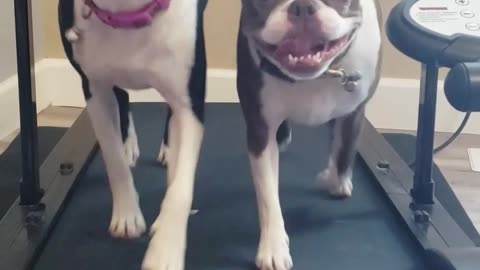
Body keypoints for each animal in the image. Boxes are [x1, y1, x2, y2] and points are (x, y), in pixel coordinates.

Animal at [57, 0, 207, 270]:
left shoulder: (190, 102)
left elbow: (180, 187)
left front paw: (165, 250)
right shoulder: (95, 90)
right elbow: (113, 159)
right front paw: (127, 215)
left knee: (169, 114)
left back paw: (168, 151)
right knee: (122, 95)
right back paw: (129, 145)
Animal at [236, 1, 382, 268]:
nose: (302, 6)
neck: (321, 73)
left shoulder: (356, 110)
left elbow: (344, 150)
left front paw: (335, 181)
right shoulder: (260, 131)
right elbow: (268, 194)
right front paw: (274, 247)